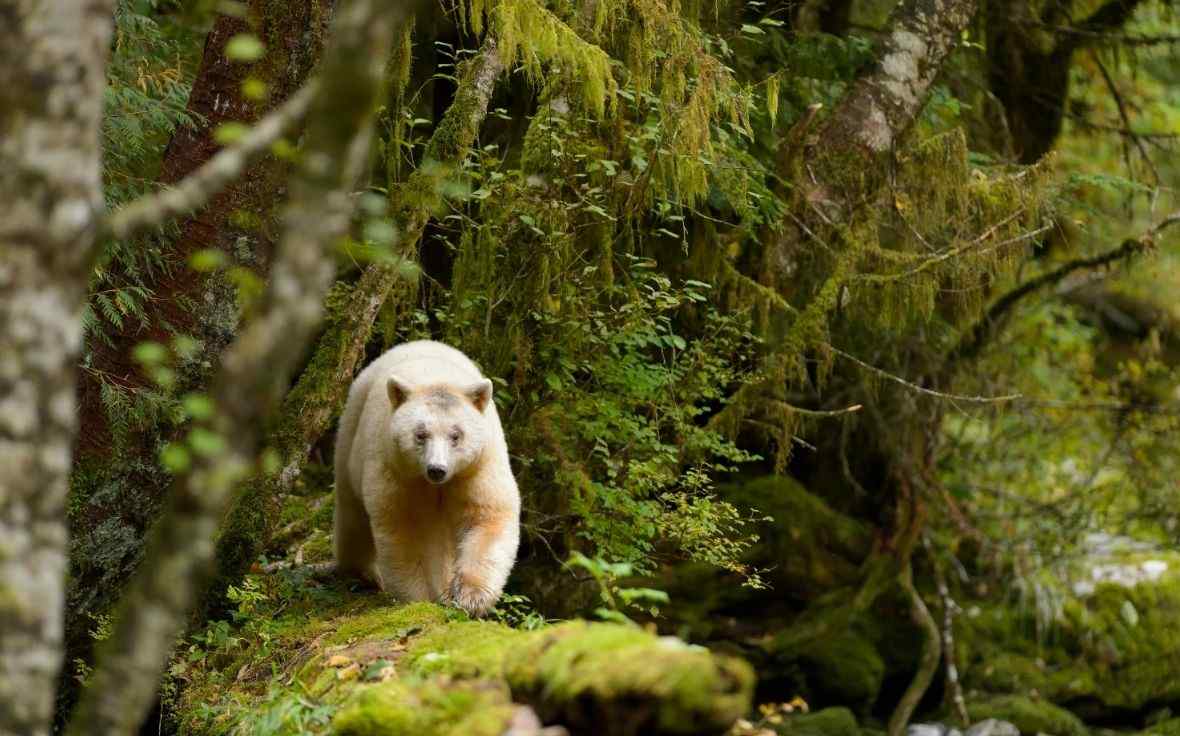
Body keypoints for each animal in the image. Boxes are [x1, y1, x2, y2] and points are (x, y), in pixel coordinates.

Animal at [333, 340, 520, 616]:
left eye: (456, 435)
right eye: (420, 434)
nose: (436, 469)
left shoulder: (477, 467)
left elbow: (486, 517)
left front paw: (470, 597)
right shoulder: (397, 473)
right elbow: (402, 534)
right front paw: (420, 599)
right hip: (352, 434)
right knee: (352, 514)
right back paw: (363, 572)